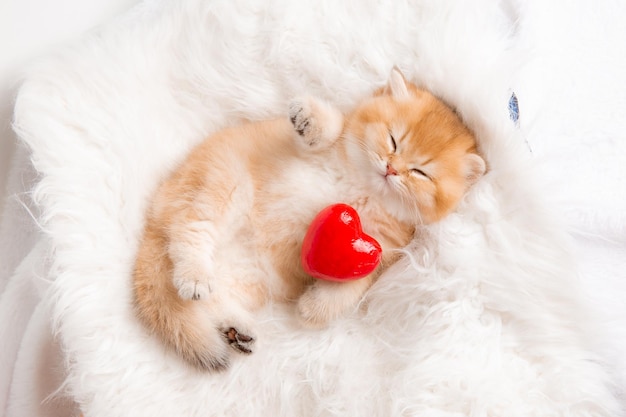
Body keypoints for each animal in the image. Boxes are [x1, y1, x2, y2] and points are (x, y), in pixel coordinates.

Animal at [130, 68, 482, 370]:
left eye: (421, 172)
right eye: (393, 139)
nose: (391, 169)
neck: (363, 190)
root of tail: (153, 223)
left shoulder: (381, 250)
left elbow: (352, 287)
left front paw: (313, 310)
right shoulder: (311, 149)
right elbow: (334, 129)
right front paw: (310, 117)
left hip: (251, 276)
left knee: (209, 297)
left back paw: (235, 330)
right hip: (222, 181)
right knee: (190, 229)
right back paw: (195, 275)